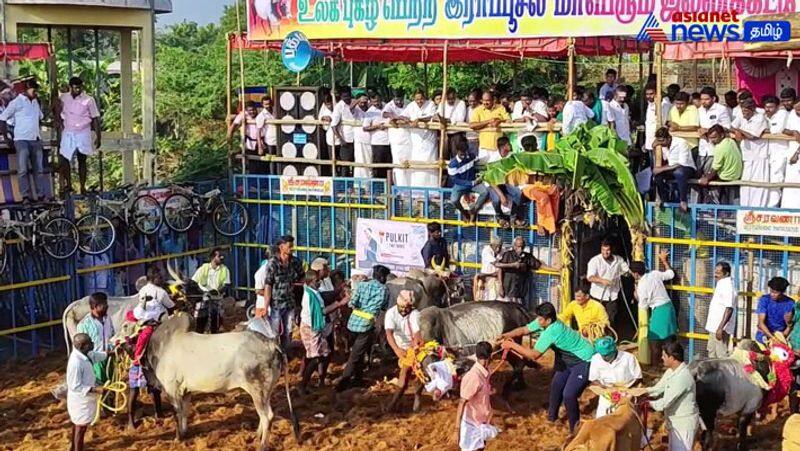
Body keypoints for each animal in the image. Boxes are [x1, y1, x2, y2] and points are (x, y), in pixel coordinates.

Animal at [141, 314, 300, 451]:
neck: (162, 345)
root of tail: (270, 343)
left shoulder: (171, 388)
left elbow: (177, 413)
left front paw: (177, 438)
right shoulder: (186, 391)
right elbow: (185, 411)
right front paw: (184, 432)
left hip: (257, 389)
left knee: (267, 416)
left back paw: (262, 445)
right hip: (266, 391)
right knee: (265, 414)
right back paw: (257, 435)